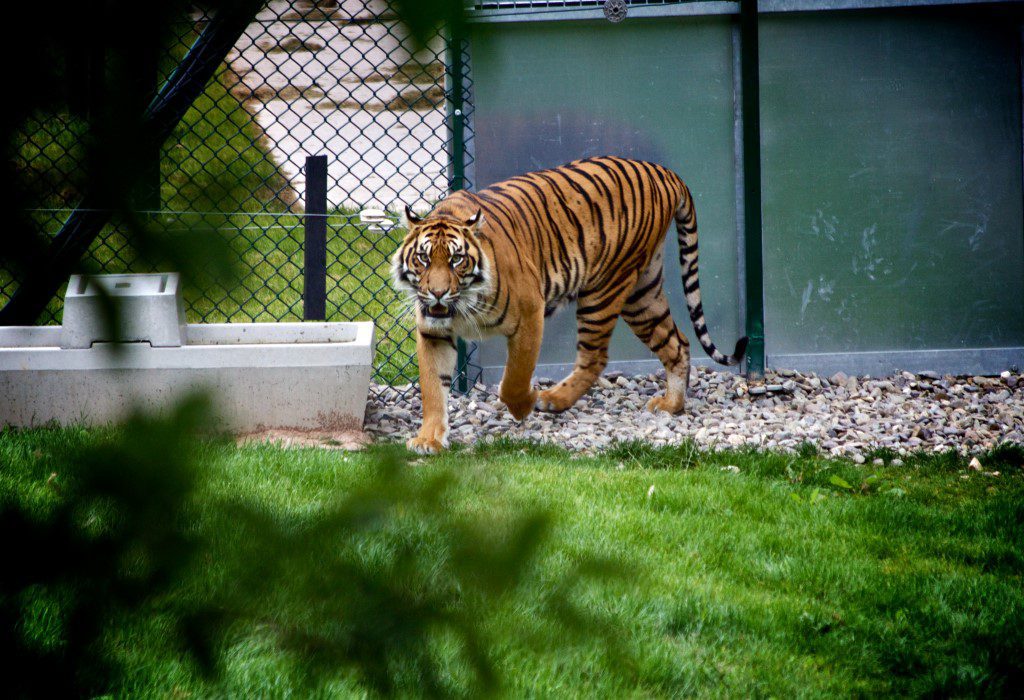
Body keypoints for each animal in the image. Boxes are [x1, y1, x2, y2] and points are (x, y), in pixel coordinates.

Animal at [389, 155, 745, 454]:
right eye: (423, 259)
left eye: (456, 260)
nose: (436, 293)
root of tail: (664, 172)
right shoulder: (433, 332)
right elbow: (433, 389)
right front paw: (429, 439)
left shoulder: (529, 314)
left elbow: (513, 379)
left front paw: (525, 404)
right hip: (642, 294)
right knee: (677, 343)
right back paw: (672, 405)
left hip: (605, 288)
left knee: (596, 357)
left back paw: (553, 399)